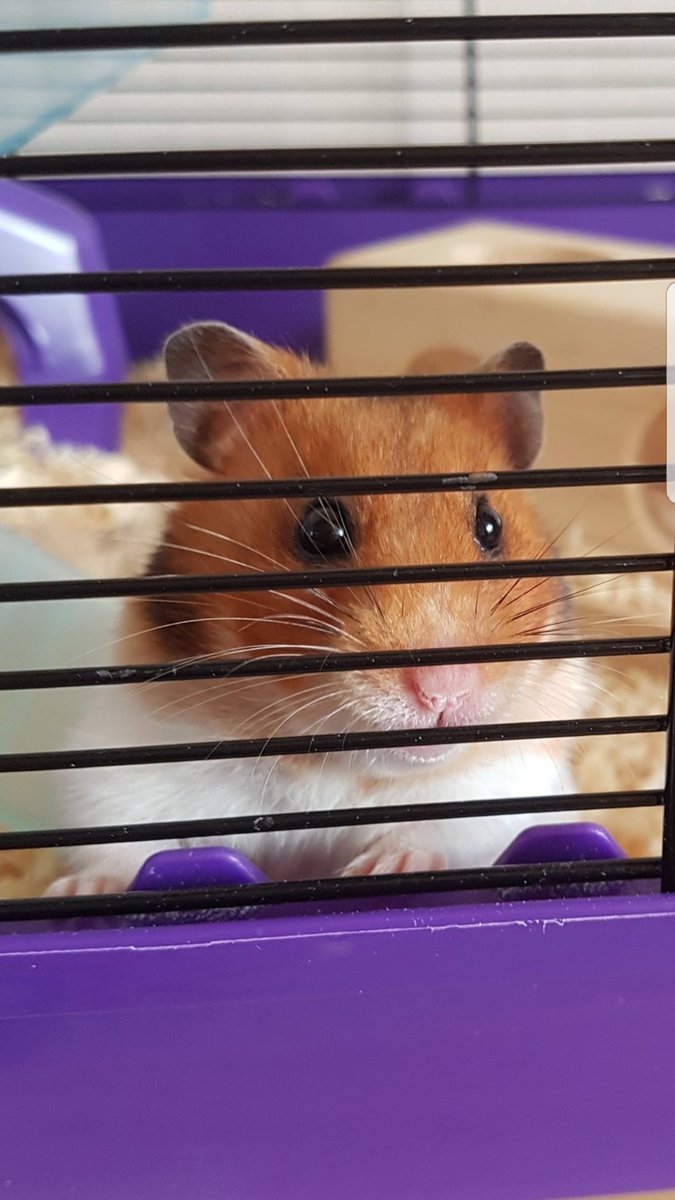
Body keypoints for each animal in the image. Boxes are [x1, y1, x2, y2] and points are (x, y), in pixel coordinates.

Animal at [47, 321, 586, 896]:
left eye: (490, 526)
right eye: (320, 531)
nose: (445, 690)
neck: (334, 766)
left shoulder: (508, 784)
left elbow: (438, 831)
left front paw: (385, 868)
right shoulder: (122, 769)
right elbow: (123, 846)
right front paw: (79, 890)